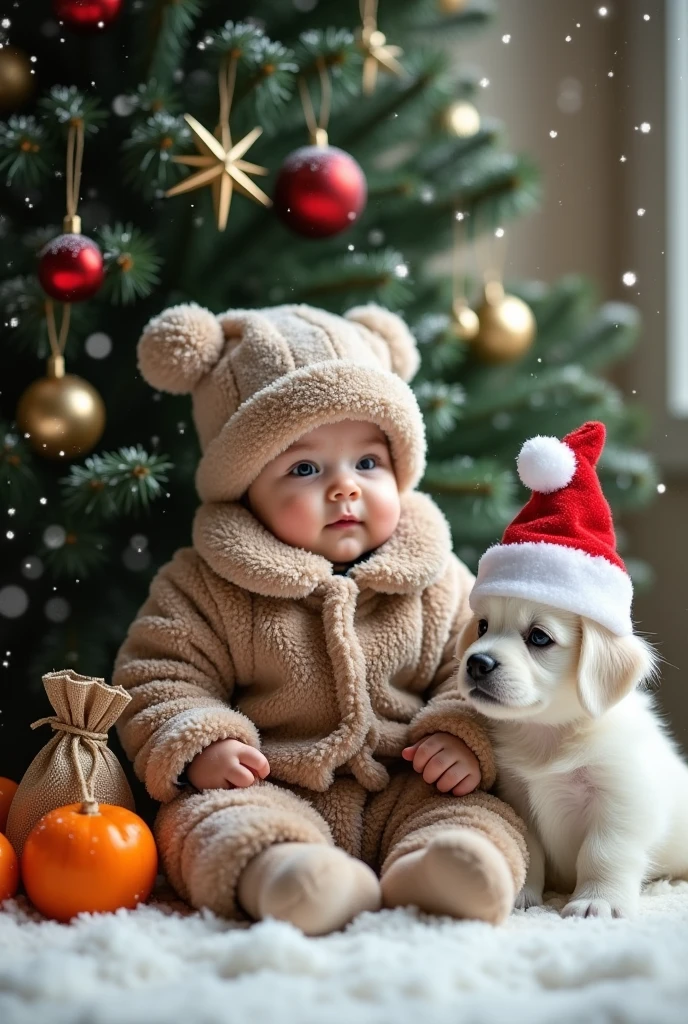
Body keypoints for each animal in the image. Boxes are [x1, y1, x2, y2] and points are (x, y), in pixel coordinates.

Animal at [454, 598, 688, 917]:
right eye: (482, 626)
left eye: (539, 637)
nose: (477, 663)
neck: (551, 738)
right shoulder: (518, 799)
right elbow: (529, 849)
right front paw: (522, 894)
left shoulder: (621, 802)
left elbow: (602, 853)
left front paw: (598, 899)